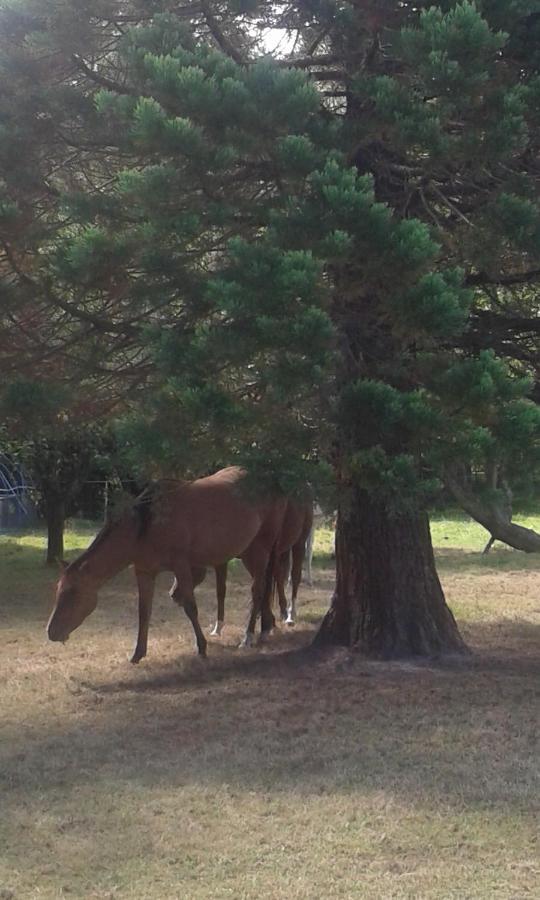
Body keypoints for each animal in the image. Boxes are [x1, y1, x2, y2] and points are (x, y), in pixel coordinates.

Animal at [47, 468, 286, 664]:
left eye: (73, 593)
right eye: (57, 591)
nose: (52, 632)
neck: (148, 523)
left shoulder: (181, 565)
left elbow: (190, 606)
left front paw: (201, 648)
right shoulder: (144, 572)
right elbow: (144, 611)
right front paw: (137, 654)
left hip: (261, 548)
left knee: (257, 590)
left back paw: (248, 636)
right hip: (246, 551)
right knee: (264, 587)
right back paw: (266, 627)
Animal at [209, 500, 314, 640]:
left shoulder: (260, 554)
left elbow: (263, 587)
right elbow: (221, 590)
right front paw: (217, 628)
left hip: (299, 543)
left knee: (295, 576)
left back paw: (290, 615)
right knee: (278, 576)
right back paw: (279, 612)